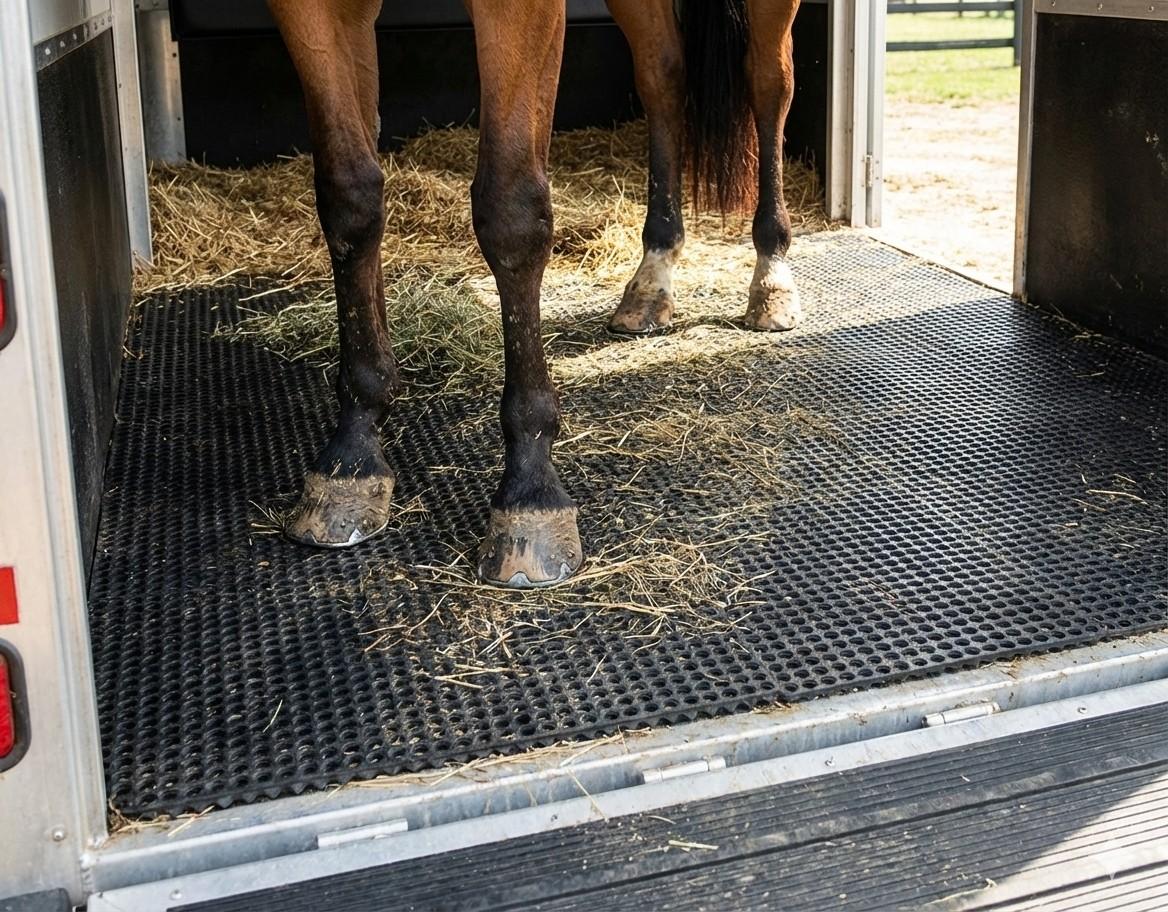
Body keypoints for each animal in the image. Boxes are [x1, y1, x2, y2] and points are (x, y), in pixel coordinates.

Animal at [266, 0, 802, 588]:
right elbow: (349, 197)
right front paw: (351, 456)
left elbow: (510, 213)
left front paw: (529, 489)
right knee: (663, 75)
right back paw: (652, 278)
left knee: (769, 77)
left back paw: (772, 278)